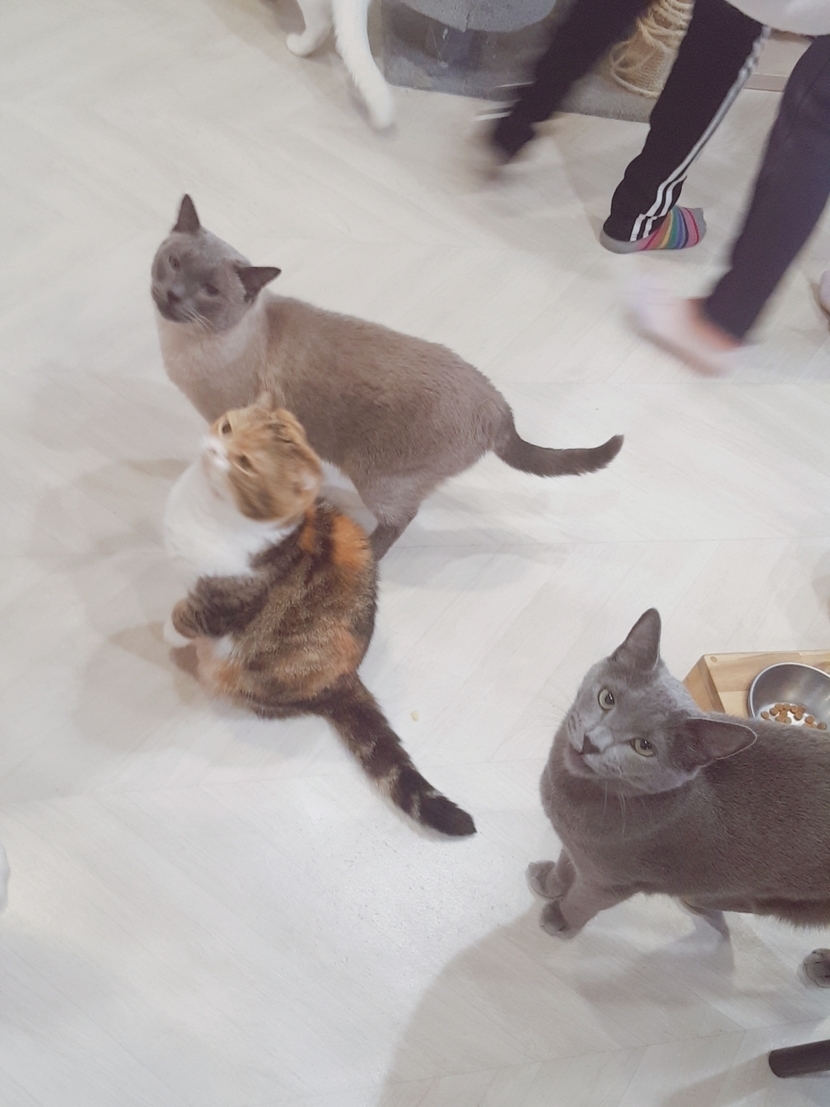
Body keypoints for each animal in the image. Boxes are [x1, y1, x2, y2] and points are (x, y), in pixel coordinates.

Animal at [153, 195, 624, 559]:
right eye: (173, 263)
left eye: (210, 291)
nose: (173, 295)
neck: (186, 345)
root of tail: (499, 407)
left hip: (377, 476)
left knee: (401, 519)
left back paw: (368, 553)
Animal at [163, 395, 476, 837]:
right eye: (226, 428)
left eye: (244, 463)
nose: (212, 450)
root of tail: (346, 677)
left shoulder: (226, 603)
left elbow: (187, 618)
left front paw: (168, 633)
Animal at [530, 608, 830, 971]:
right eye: (607, 698)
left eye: (644, 747)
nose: (591, 742)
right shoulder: (578, 847)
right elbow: (566, 865)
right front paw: (549, 882)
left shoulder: (611, 879)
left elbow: (583, 900)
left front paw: (560, 918)